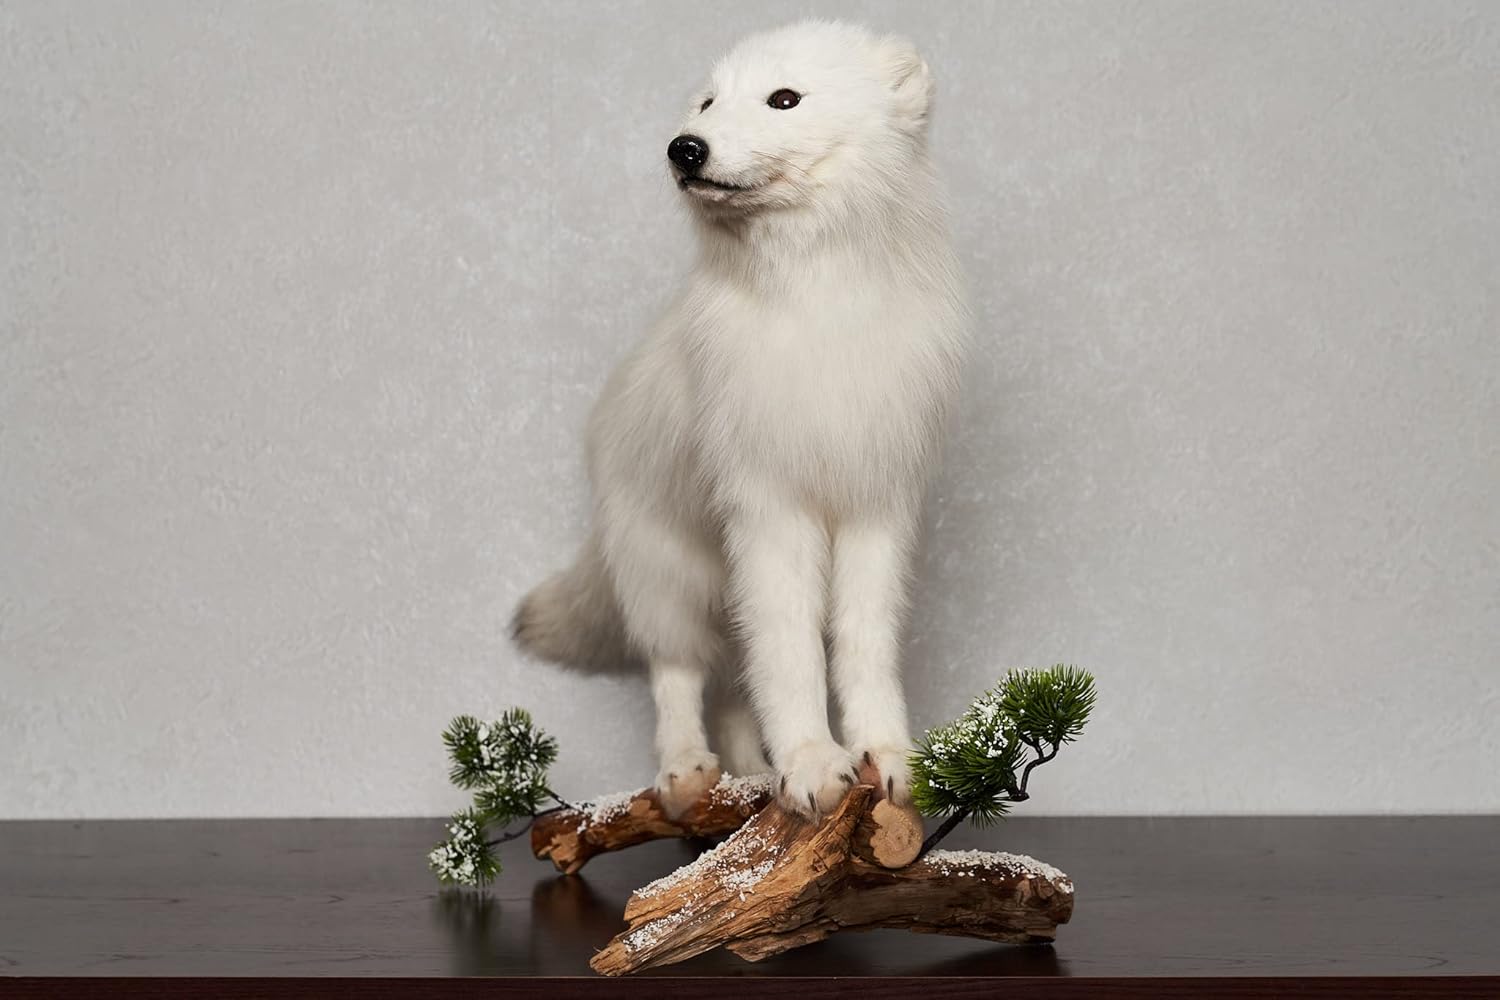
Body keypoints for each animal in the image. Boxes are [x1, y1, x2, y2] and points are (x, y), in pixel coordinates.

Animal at [512, 20, 969, 819]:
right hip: (670, 578)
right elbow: (790, 653)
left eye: (783, 99)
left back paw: (750, 776)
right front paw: (813, 762)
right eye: (706, 100)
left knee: (731, 683)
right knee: (677, 672)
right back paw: (686, 772)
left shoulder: (878, 505)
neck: (821, 307)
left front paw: (886, 756)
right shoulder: (769, 509)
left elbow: (863, 645)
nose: (684, 147)